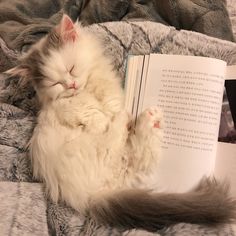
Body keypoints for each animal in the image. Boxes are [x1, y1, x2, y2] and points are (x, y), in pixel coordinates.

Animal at [6, 14, 235, 232]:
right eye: (56, 83)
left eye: (71, 68)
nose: (71, 85)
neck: (89, 88)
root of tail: (92, 197)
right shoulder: (62, 106)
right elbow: (86, 110)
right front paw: (101, 120)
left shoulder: (111, 94)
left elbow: (109, 104)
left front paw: (110, 112)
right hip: (94, 151)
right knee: (120, 142)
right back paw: (134, 119)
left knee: (138, 155)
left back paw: (148, 120)